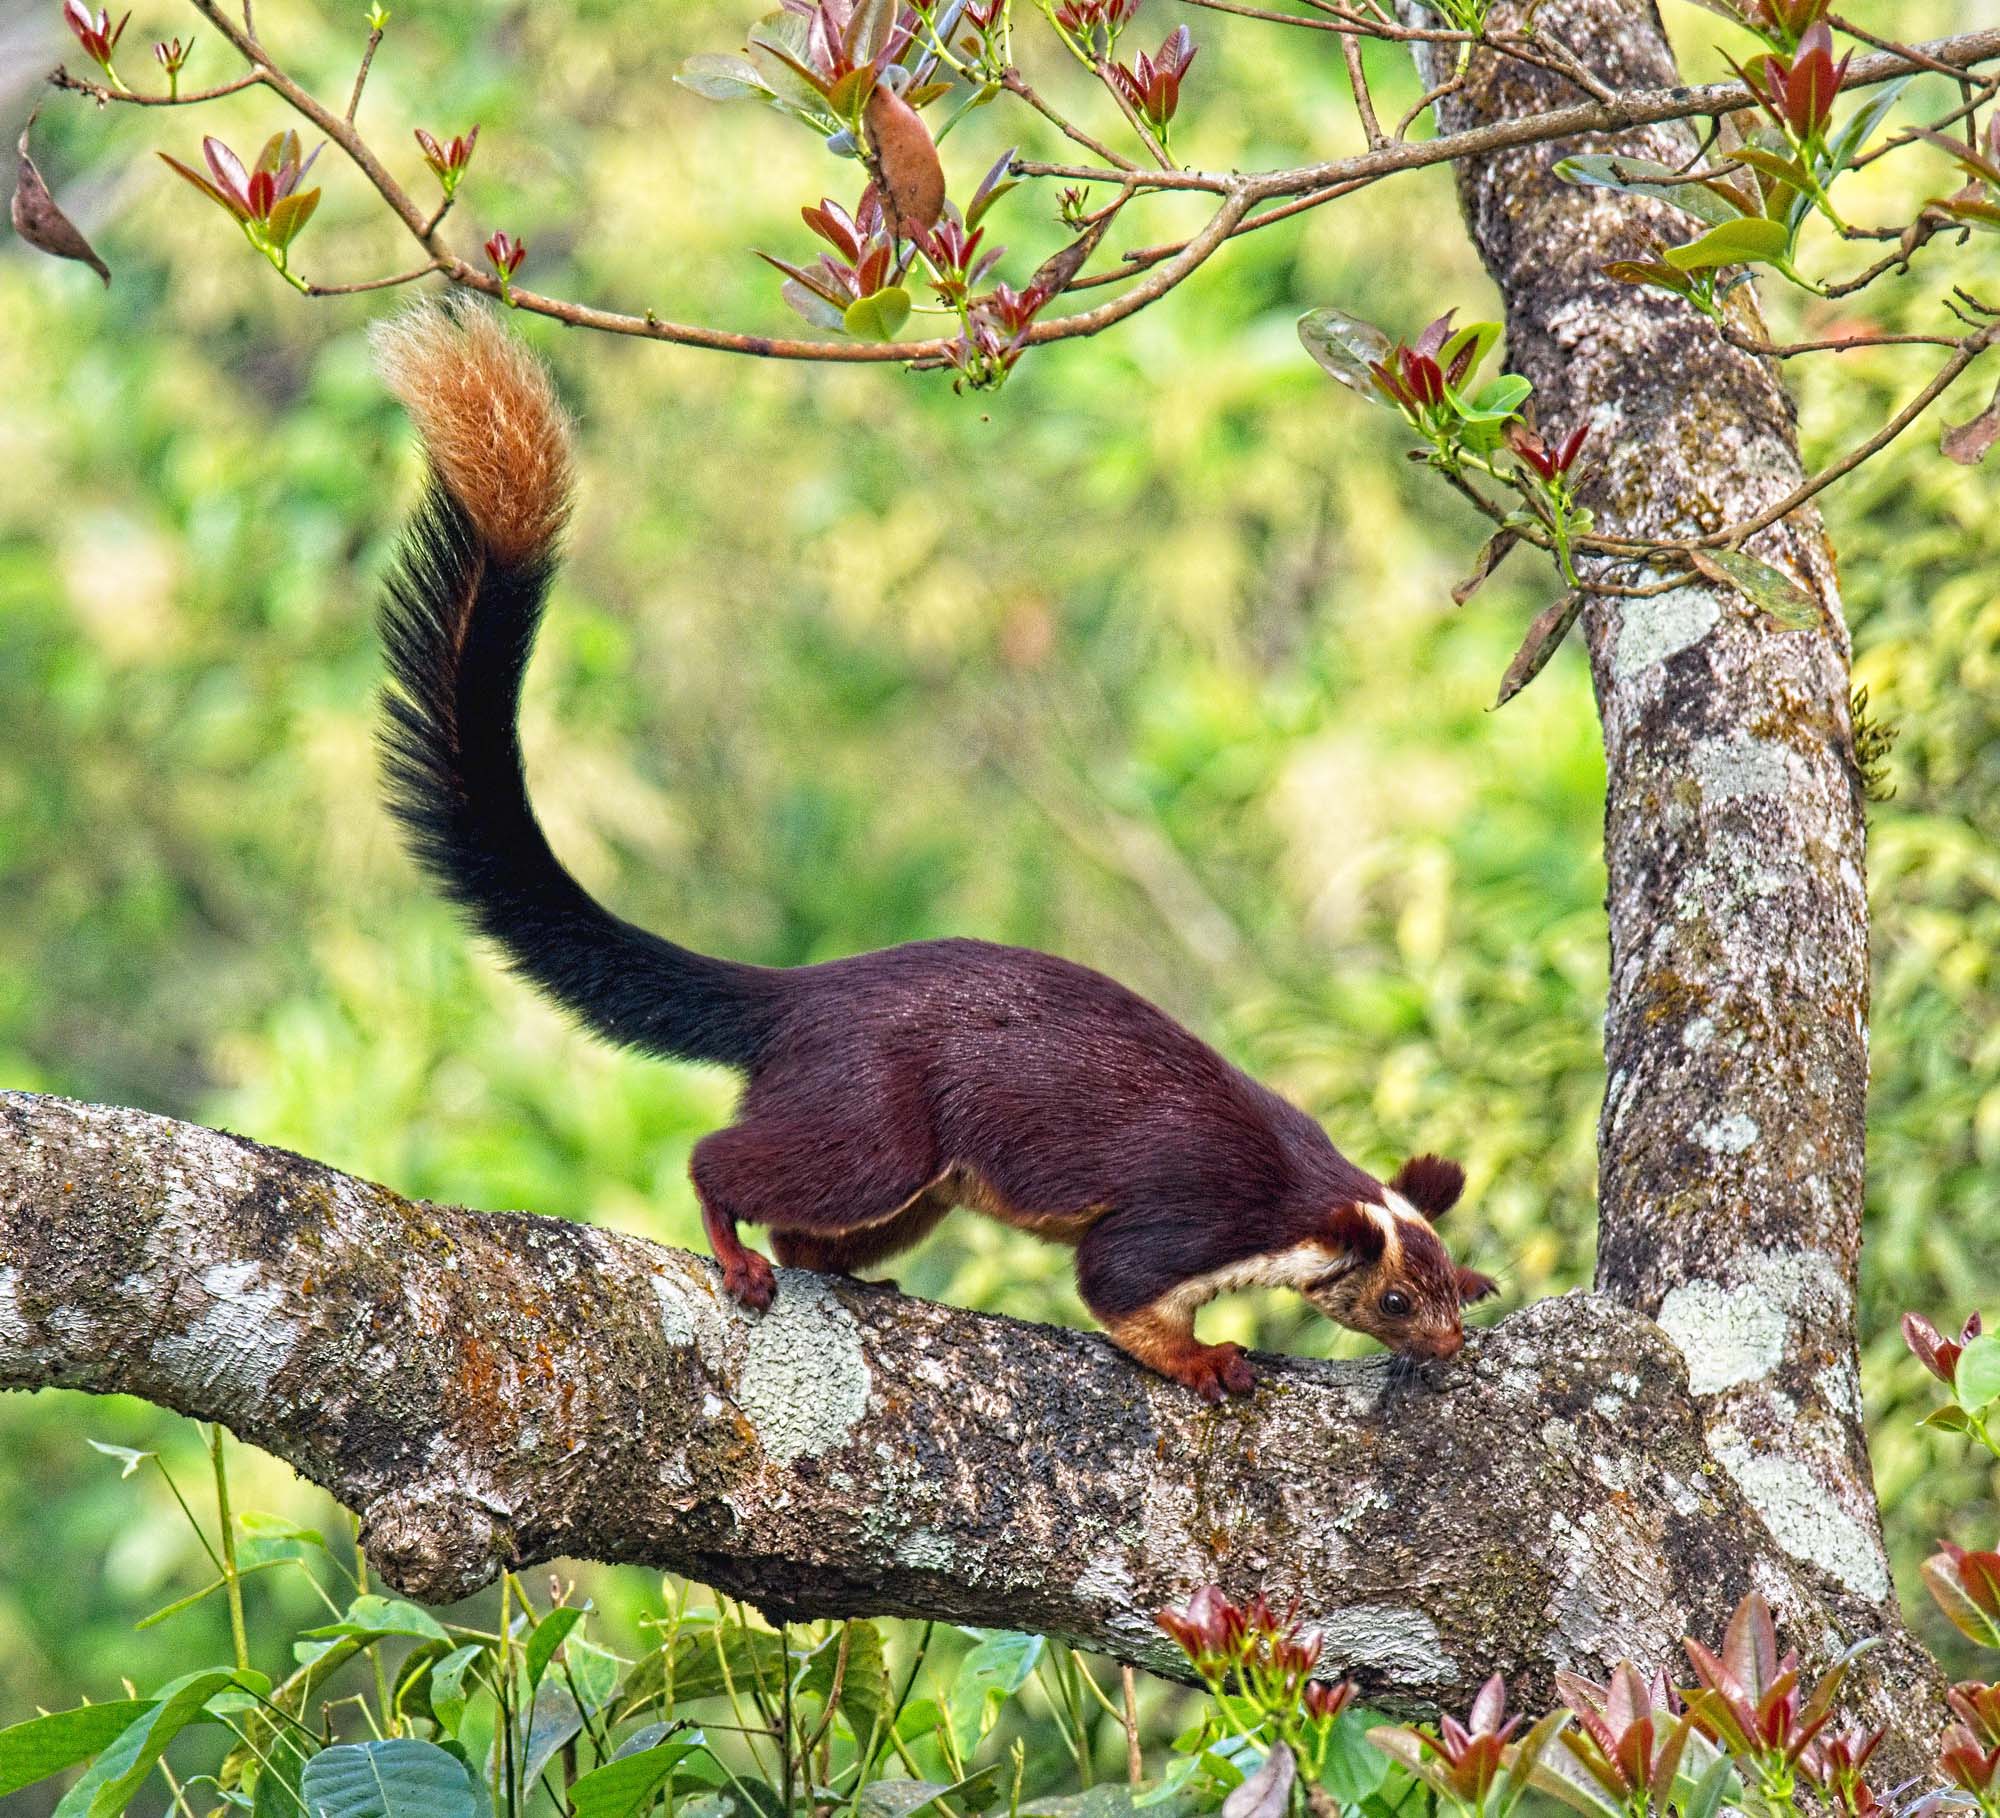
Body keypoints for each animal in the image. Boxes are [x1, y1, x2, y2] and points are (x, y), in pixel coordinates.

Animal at [369, 302, 1497, 1401]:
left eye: (1453, 1283)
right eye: (1396, 1299)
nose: (1448, 1347)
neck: (1304, 1201)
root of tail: (802, 996)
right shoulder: (1189, 1219)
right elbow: (1119, 1291)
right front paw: (1209, 1361)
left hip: (923, 1181)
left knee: (808, 1225)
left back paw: (847, 1276)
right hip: (874, 1126)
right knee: (722, 1163)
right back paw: (736, 1254)